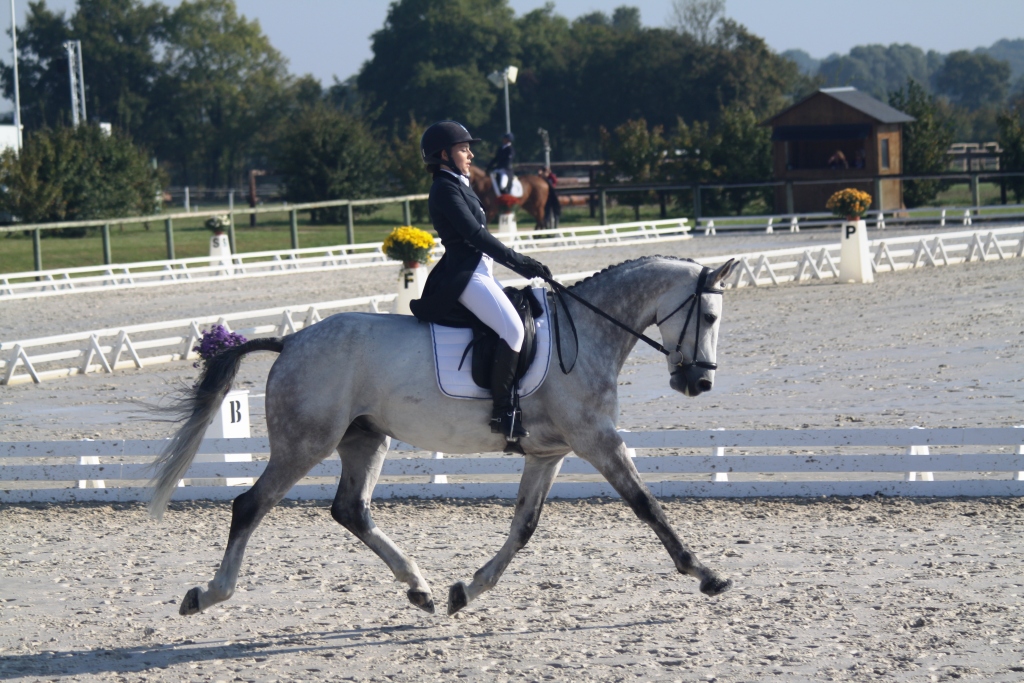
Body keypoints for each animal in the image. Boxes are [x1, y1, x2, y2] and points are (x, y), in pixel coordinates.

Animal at [149, 258, 737, 618]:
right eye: (709, 315)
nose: (700, 383)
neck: (588, 334)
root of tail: (291, 341)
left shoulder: (549, 453)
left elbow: (523, 527)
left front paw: (466, 591)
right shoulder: (598, 440)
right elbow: (646, 505)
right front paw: (706, 575)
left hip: (365, 440)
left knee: (351, 510)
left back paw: (419, 586)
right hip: (305, 443)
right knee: (250, 505)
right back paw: (208, 594)